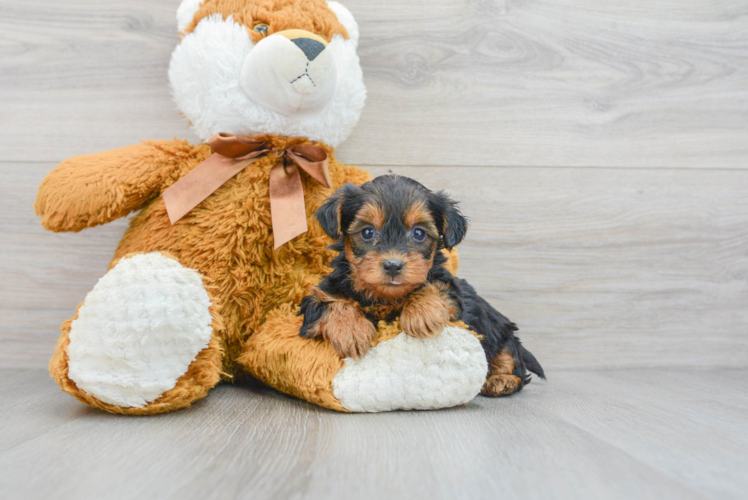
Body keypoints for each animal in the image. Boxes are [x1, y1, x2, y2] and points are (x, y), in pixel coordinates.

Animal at [298, 174, 544, 396]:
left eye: (418, 233)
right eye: (367, 232)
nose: (393, 265)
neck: (386, 297)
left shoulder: (454, 295)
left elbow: (436, 287)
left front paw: (422, 313)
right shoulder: (319, 294)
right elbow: (329, 302)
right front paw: (350, 330)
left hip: (500, 330)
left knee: (511, 360)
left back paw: (502, 380)